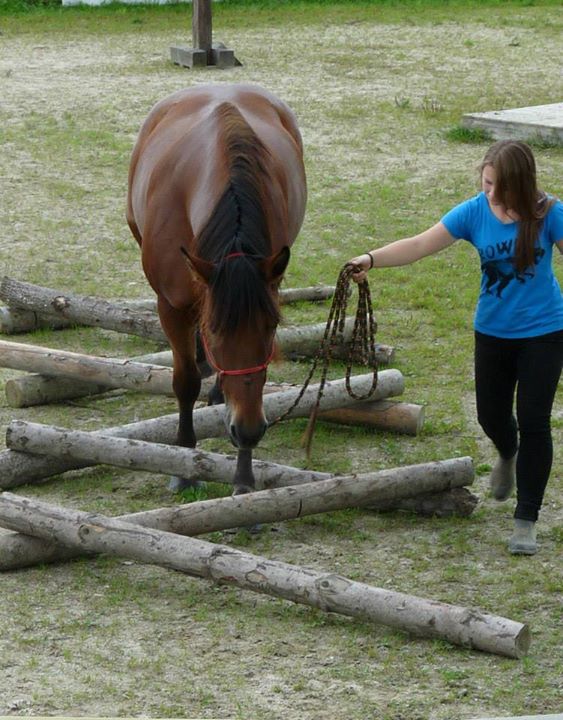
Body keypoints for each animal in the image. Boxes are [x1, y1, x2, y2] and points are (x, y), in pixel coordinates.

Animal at [126, 81, 308, 492]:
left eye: (271, 327)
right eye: (215, 329)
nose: (250, 430)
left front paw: (243, 476)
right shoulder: (171, 306)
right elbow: (184, 382)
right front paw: (182, 467)